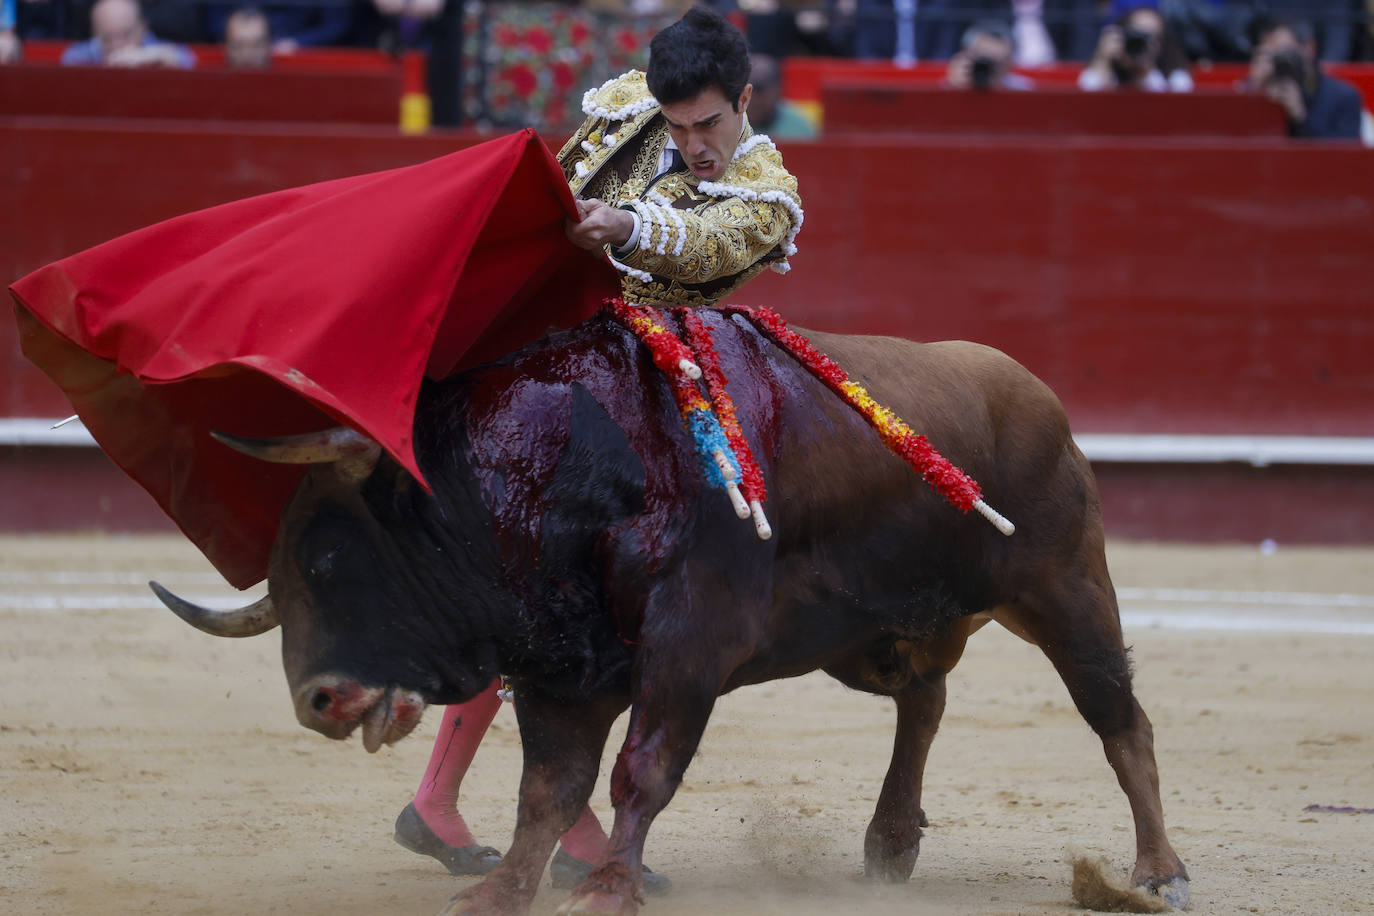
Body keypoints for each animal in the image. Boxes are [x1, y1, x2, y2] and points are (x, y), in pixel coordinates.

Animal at [150, 310, 1187, 916]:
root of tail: (1030, 387)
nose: (317, 700)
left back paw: (1157, 874)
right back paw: (890, 845)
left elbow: (640, 771)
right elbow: (548, 787)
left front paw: (609, 887)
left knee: (1120, 719)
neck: (554, 471)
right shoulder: (560, 668)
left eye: (328, 555)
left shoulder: (686, 649)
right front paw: (504, 890)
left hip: (1064, 587)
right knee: (923, 703)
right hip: (872, 636)